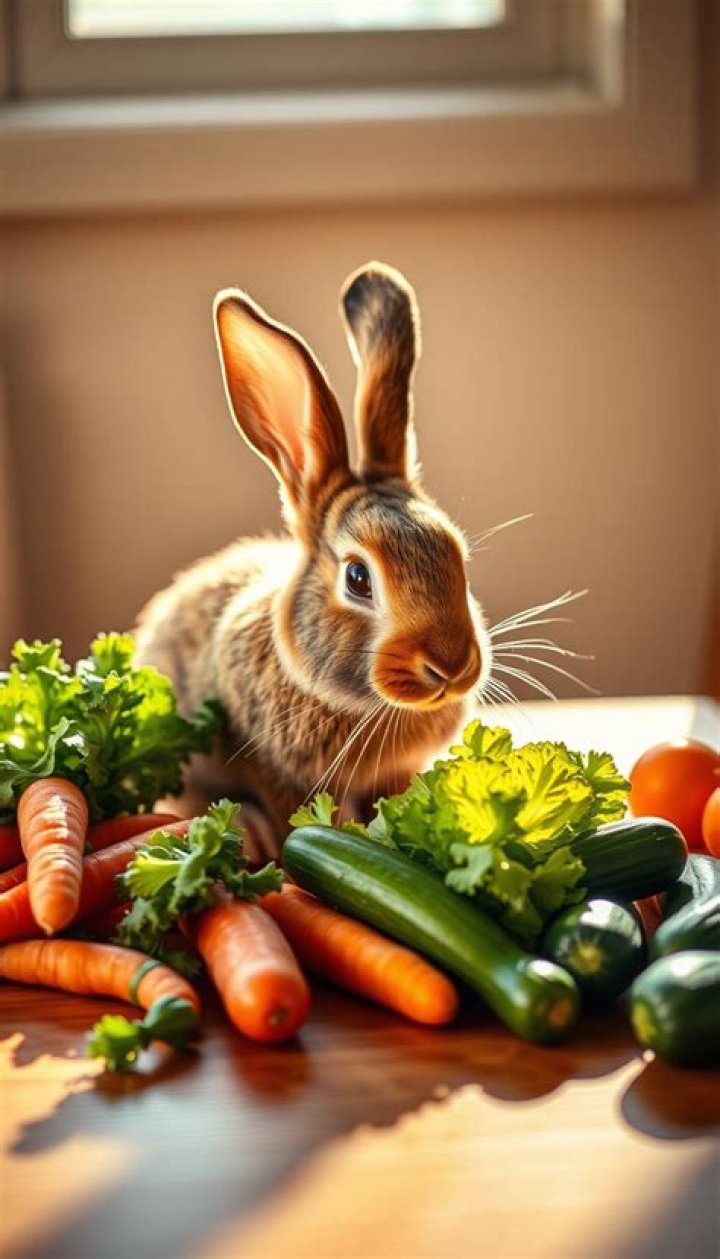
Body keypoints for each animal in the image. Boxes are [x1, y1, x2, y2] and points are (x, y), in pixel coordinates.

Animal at [133, 262, 492, 860]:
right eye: (358, 578)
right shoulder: (276, 774)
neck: (364, 705)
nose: (450, 665)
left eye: (456, 555)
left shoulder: (393, 776)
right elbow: (292, 819)